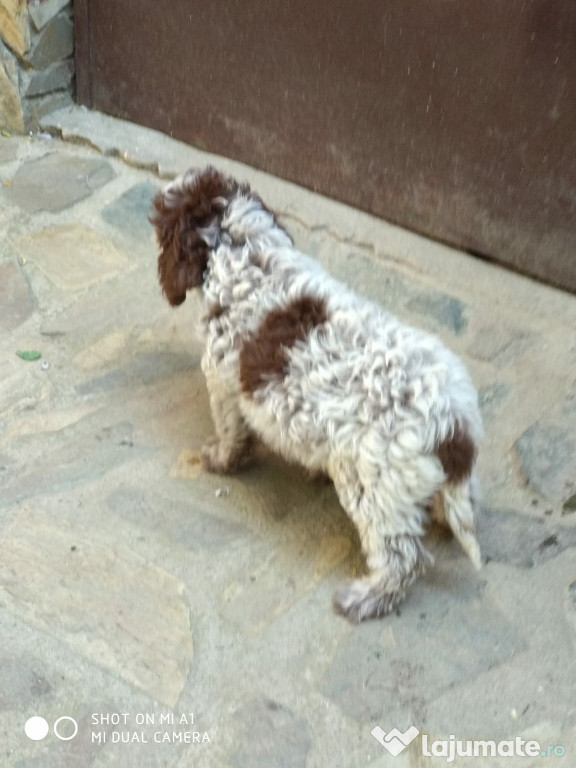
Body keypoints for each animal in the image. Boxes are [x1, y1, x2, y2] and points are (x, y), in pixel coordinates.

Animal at [151, 165, 484, 620]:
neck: (247, 254)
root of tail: (453, 422)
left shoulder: (222, 382)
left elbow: (230, 431)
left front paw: (220, 458)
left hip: (372, 484)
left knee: (401, 558)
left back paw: (365, 598)